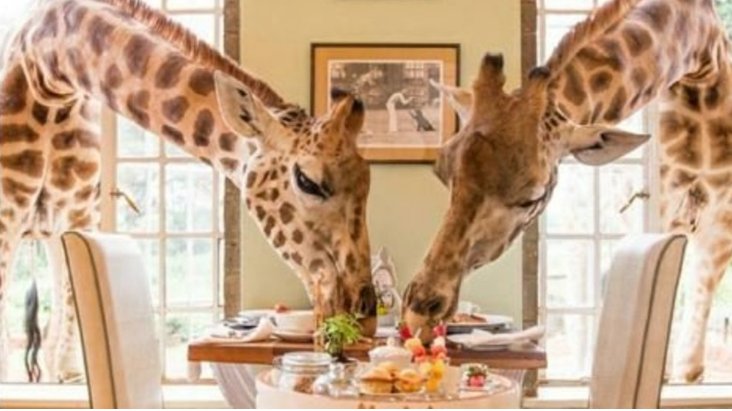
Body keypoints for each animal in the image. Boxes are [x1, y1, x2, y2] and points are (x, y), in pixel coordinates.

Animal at [0, 0, 377, 381]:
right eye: (307, 181)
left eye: (368, 183)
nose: (366, 312)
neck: (49, 73)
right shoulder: (6, 221)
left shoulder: (79, 218)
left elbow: (63, 354)